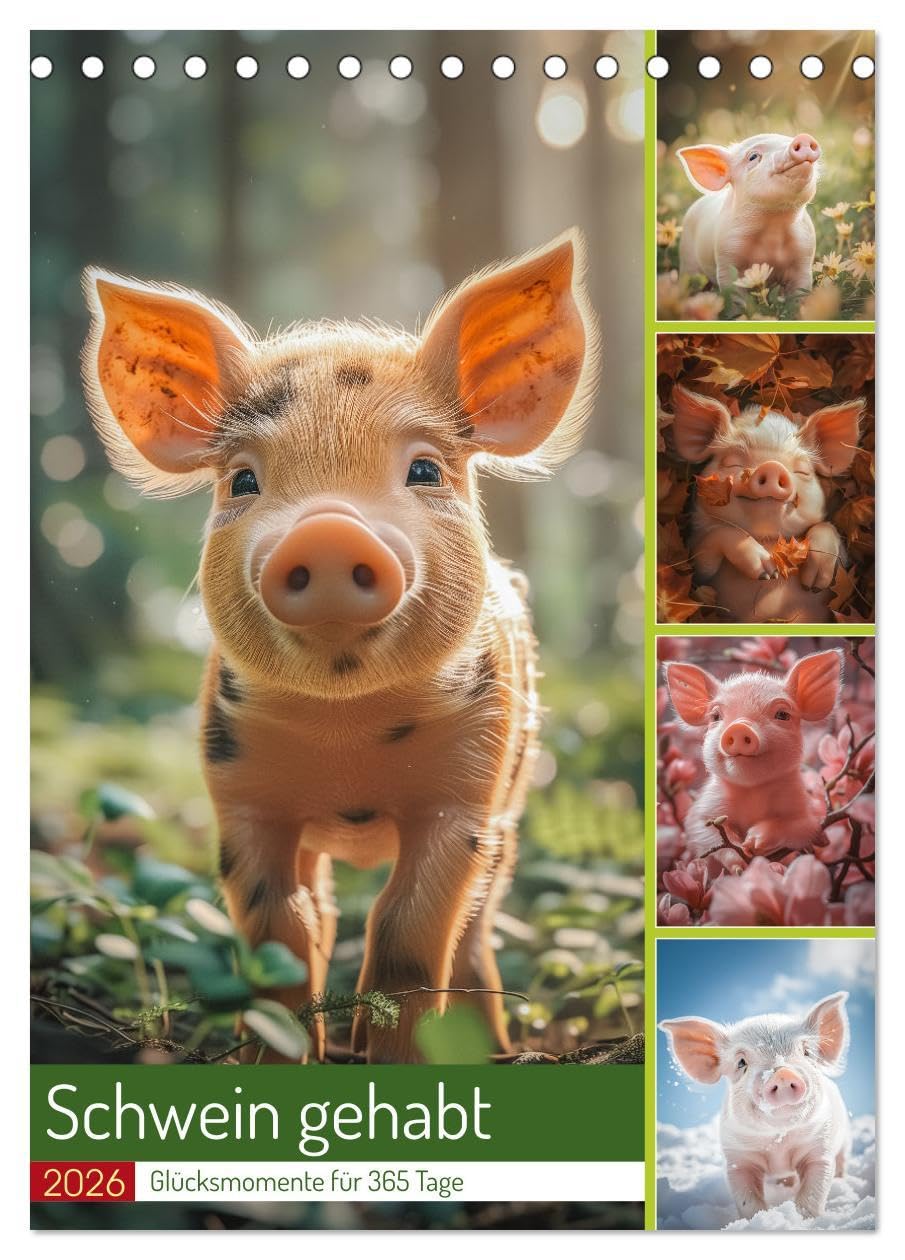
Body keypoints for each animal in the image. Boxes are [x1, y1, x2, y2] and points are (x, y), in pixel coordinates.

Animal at [81, 231, 598, 1063]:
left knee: (479, 921)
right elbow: (281, 925)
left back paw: (495, 1045)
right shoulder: (240, 795)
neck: (346, 737)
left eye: (423, 469)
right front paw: (274, 1058)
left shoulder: (468, 792)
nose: (327, 530)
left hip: (512, 814)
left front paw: (393, 1057)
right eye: (242, 481)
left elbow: (408, 922)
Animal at [660, 991, 851, 1221]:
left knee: (841, 1158)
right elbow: (747, 1199)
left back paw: (841, 1180)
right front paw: (759, 1220)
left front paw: (804, 1219)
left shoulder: (820, 1149)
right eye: (741, 1062)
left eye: (807, 1052)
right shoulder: (738, 1159)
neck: (778, 1143)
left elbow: (814, 1191)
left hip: (845, 1137)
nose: (782, 1073)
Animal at [664, 648, 842, 862]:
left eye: (782, 714)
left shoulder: (807, 813)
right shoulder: (705, 808)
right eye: (715, 716)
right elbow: (702, 830)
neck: (753, 792)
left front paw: (753, 843)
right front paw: (742, 859)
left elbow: (803, 826)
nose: (739, 727)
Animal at [671, 384, 865, 624]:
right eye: (732, 463)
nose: (772, 466)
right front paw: (767, 572)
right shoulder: (698, 569)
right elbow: (715, 539)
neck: (768, 537)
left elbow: (827, 529)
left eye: (802, 470)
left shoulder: (847, 565)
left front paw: (813, 585)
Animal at [677, 133, 821, 293]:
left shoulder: (804, 257)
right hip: (687, 258)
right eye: (753, 156)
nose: (803, 137)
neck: (773, 229)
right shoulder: (726, 256)